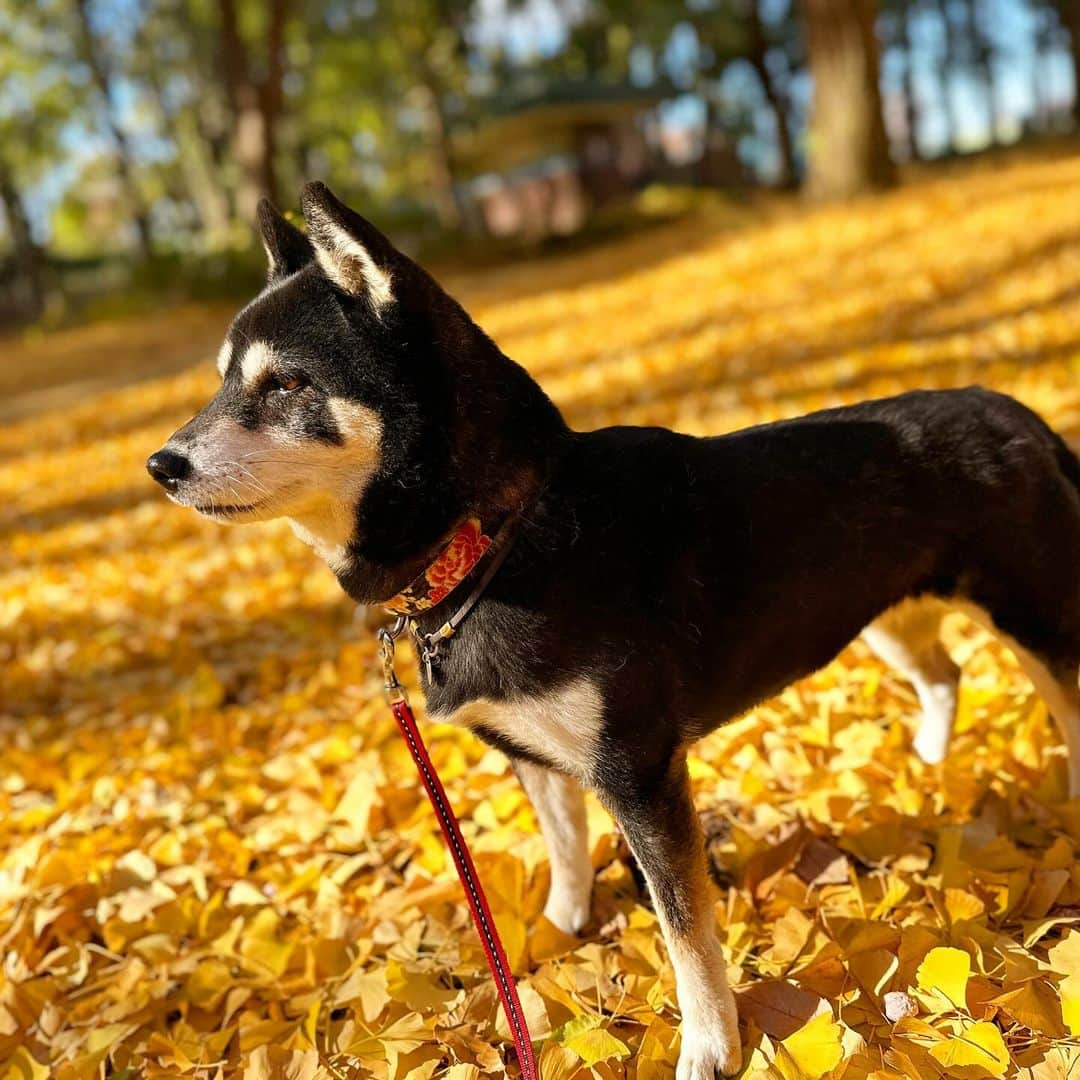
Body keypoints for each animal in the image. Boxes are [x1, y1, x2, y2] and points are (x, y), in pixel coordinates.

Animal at [150, 185, 1080, 1080]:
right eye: (222, 383)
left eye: (286, 384)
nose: (161, 464)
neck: (499, 534)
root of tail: (1018, 411)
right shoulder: (536, 755)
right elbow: (565, 855)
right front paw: (555, 938)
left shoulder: (639, 775)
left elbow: (684, 929)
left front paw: (710, 1046)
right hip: (882, 614)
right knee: (944, 674)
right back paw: (929, 765)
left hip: (1034, 617)